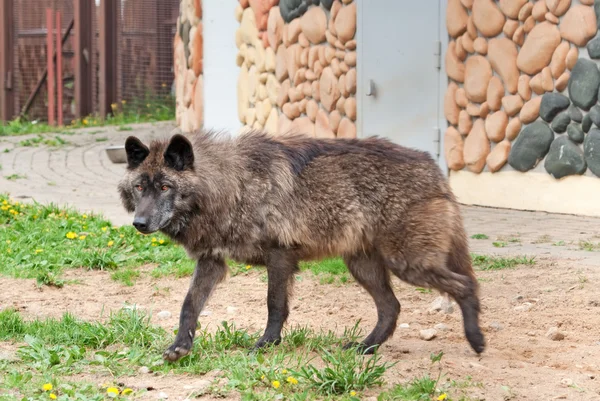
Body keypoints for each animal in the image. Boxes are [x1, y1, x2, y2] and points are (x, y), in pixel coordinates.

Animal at [118, 130, 488, 360]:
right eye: (140, 187)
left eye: (165, 187)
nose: (140, 224)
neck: (231, 185)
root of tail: (434, 167)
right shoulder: (212, 262)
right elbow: (189, 305)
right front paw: (180, 346)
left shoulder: (280, 256)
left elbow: (274, 305)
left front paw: (266, 345)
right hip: (363, 266)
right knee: (391, 308)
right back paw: (364, 349)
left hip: (407, 263)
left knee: (466, 284)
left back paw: (476, 340)